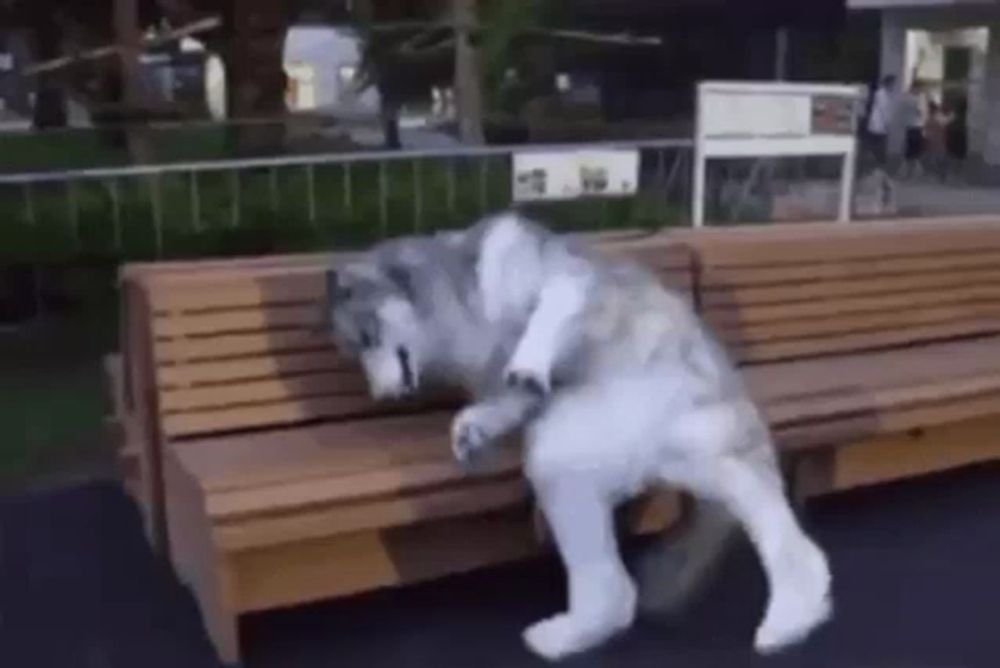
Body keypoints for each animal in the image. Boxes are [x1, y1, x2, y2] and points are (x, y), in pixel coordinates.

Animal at [324, 214, 832, 664]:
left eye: (368, 336)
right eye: (356, 352)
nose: (382, 395)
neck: (464, 297)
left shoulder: (558, 278)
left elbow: (553, 307)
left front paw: (529, 360)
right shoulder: (499, 386)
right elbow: (508, 401)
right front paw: (474, 427)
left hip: (652, 442)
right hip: (667, 457)